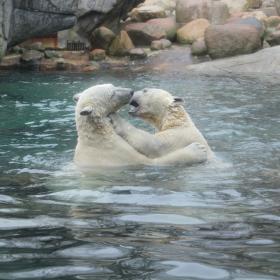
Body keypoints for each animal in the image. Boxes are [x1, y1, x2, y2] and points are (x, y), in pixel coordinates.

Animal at [74, 84, 208, 170]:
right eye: (112, 93)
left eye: (112, 85)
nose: (131, 91)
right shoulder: (118, 156)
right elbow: (154, 153)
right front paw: (198, 150)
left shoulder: (179, 134)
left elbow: (153, 145)